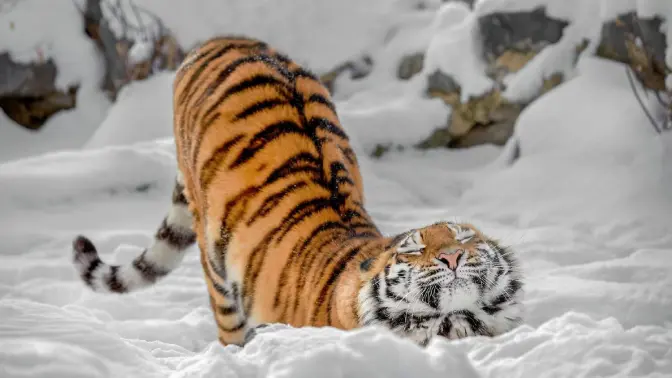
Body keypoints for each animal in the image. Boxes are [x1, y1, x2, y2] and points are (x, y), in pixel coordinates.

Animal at [73, 34, 524, 346]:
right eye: (414, 249)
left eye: (464, 239)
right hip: (215, 262)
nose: (452, 257)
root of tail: (222, 39)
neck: (454, 322)